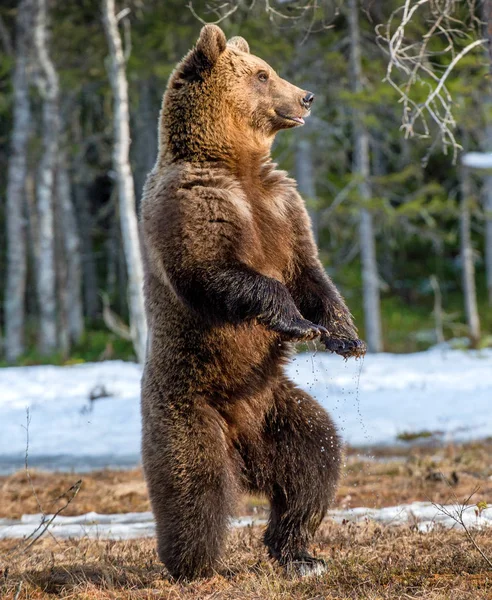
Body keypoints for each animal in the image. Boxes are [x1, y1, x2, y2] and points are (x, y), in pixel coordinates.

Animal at [138, 24, 366, 580]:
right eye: (263, 73)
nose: (306, 96)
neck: (235, 162)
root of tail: (243, 454)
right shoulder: (195, 203)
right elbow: (215, 271)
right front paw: (298, 324)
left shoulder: (283, 206)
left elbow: (311, 274)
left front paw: (344, 337)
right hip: (188, 408)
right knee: (194, 488)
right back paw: (194, 565)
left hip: (275, 408)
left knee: (315, 460)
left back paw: (300, 552)